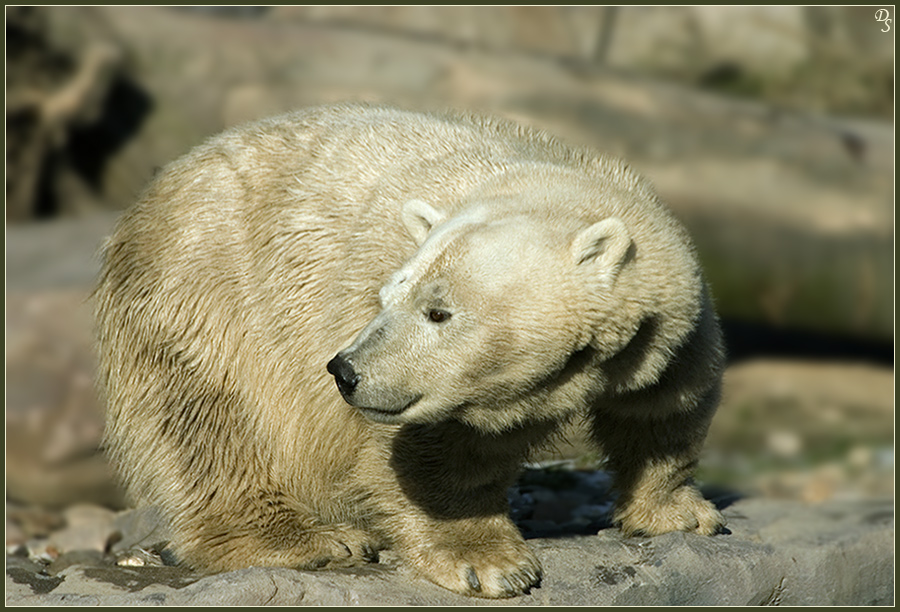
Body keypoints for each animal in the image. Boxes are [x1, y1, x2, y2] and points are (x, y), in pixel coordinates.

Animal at [95, 104, 724, 596]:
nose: (345, 370)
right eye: (388, 296)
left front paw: (682, 513)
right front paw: (486, 561)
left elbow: (668, 406)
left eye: (437, 311)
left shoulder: (668, 319)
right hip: (203, 286)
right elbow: (431, 452)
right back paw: (310, 539)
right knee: (207, 416)